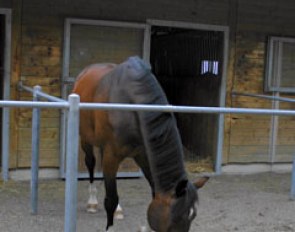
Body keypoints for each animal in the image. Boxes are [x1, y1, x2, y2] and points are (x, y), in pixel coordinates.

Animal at [73, 56, 209, 232]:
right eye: (176, 218)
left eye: (193, 217)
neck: (132, 104)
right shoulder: (112, 155)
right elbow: (111, 199)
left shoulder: (143, 155)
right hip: (86, 139)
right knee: (90, 164)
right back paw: (92, 202)